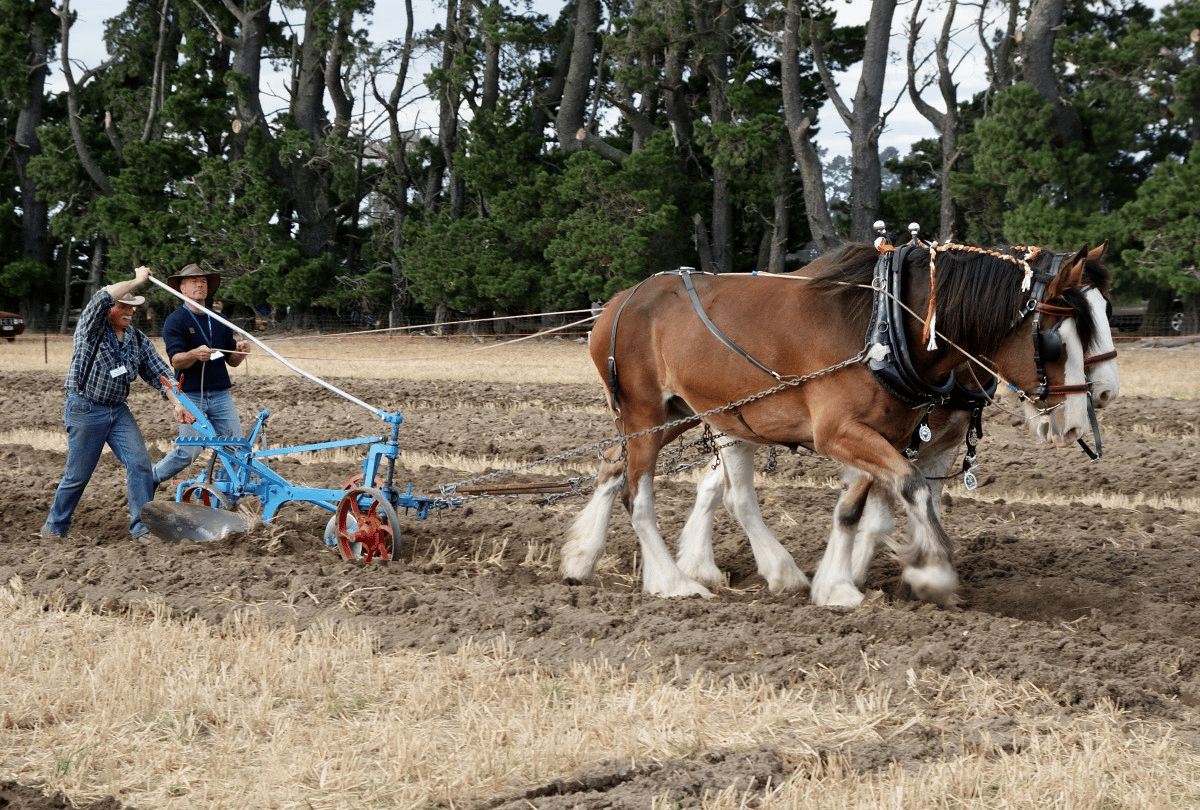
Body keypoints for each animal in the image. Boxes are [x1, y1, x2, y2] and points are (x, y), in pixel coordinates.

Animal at [562, 241, 1101, 605]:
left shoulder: (884, 433)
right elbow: (913, 488)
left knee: (612, 465)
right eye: (1055, 343)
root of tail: (617, 302)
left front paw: (837, 584)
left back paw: (582, 558)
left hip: (680, 413)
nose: (1077, 425)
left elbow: (856, 508)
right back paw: (673, 581)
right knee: (639, 494)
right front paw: (933, 573)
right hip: (645, 413)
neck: (887, 324)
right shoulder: (840, 432)